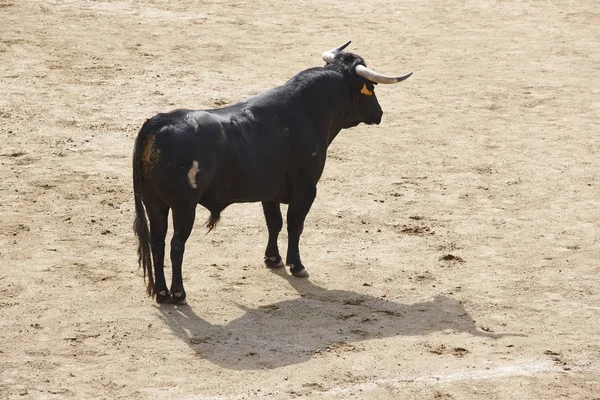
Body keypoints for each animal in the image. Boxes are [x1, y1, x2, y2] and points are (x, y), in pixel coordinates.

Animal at [133, 43, 410, 304]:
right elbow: (295, 224)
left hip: (154, 203)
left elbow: (274, 222)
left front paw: (273, 258)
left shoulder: (269, 192)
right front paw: (296, 265)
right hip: (184, 207)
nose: (380, 113)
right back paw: (178, 294)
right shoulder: (306, 189)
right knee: (176, 245)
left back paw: (161, 292)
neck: (310, 110)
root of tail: (157, 122)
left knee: (157, 242)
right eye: (371, 87)